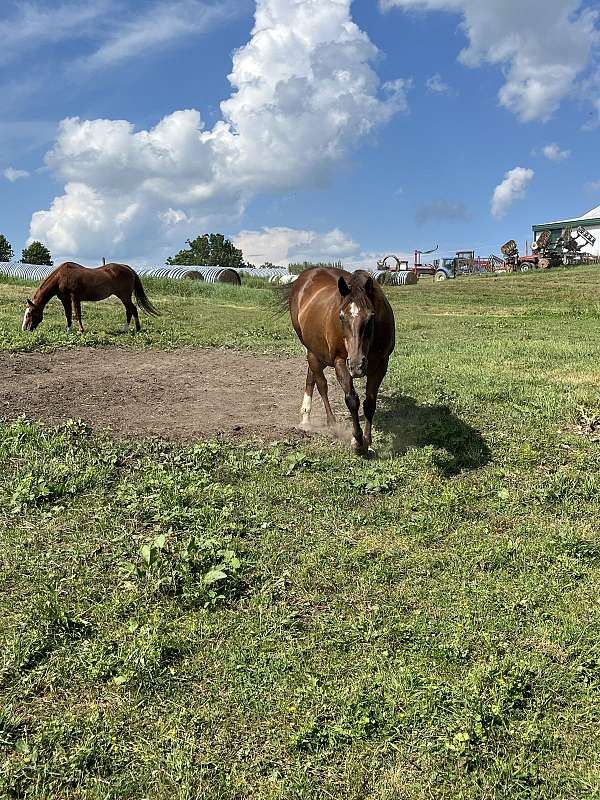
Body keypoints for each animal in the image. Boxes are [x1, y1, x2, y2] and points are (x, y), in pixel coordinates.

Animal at [22, 262, 159, 333]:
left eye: (29, 314)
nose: (24, 329)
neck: (61, 277)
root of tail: (128, 268)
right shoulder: (65, 299)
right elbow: (68, 314)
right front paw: (69, 330)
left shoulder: (74, 298)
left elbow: (77, 314)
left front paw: (81, 330)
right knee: (131, 310)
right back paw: (132, 329)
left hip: (124, 296)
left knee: (131, 310)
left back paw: (129, 329)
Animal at [283, 267, 395, 455]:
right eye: (341, 317)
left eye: (371, 317)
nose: (356, 365)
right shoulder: (340, 361)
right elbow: (352, 400)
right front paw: (357, 442)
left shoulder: (381, 364)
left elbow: (370, 402)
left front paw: (368, 440)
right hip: (311, 350)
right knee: (321, 384)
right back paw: (331, 424)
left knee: (311, 376)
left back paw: (306, 417)